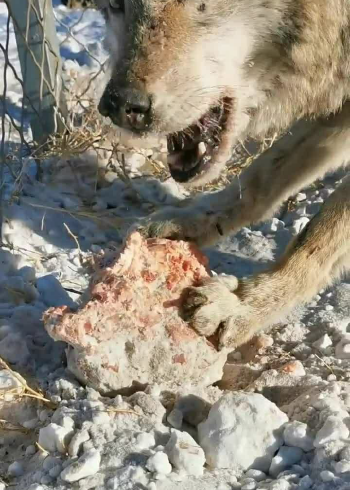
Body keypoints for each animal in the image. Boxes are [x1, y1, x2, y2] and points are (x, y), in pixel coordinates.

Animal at [97, 0, 350, 352]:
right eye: (116, 5)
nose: (118, 105)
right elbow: (262, 174)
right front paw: (196, 220)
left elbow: (318, 236)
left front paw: (244, 304)